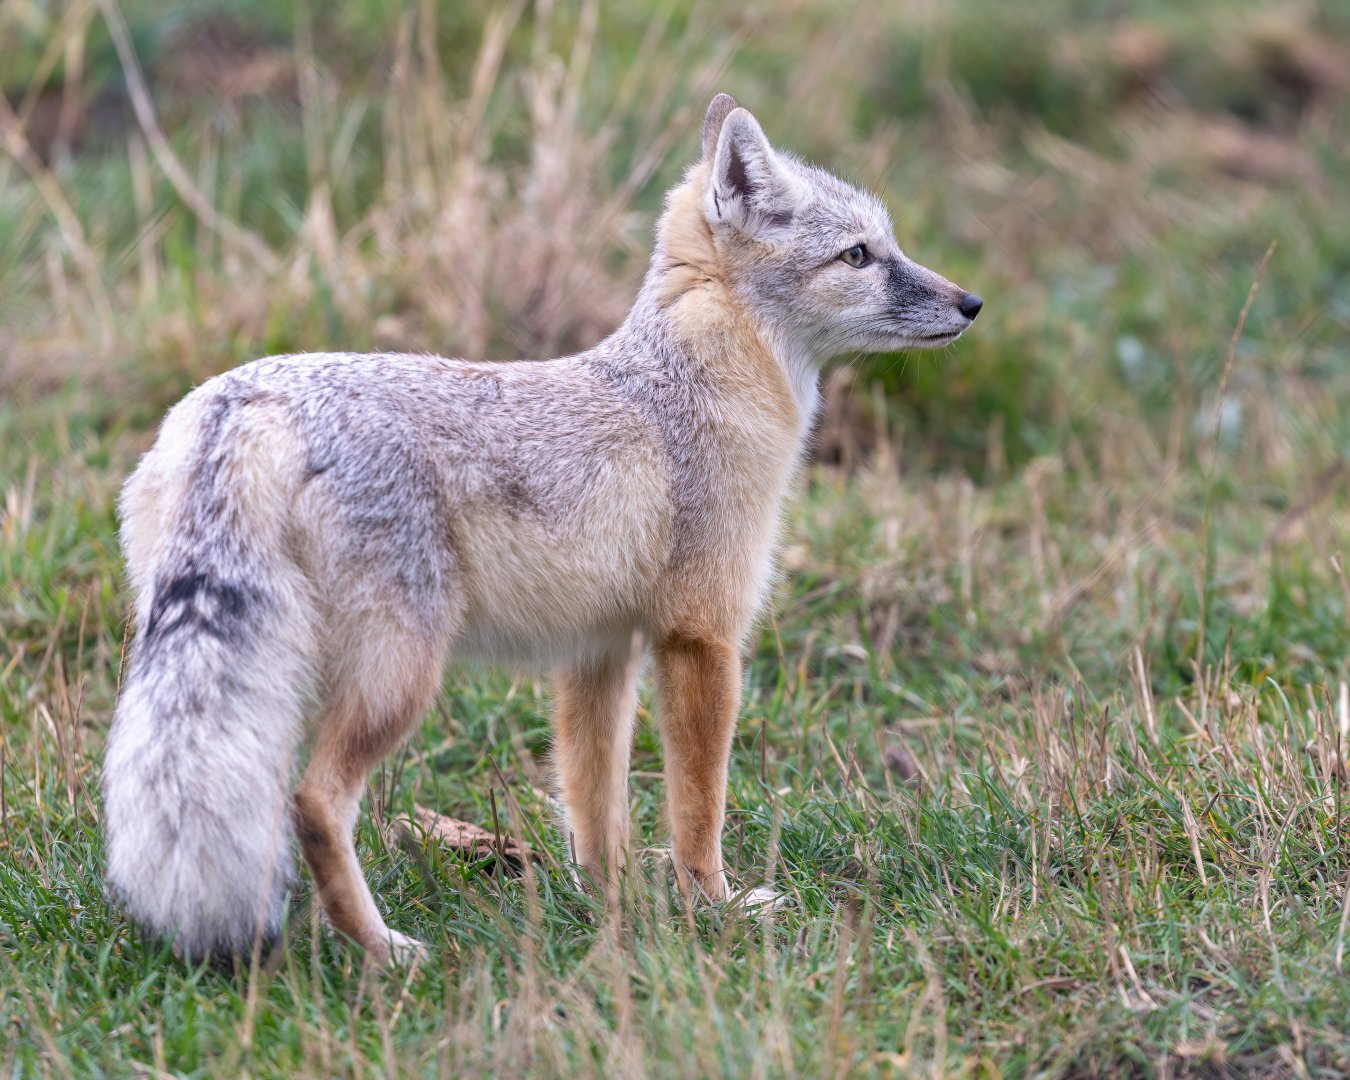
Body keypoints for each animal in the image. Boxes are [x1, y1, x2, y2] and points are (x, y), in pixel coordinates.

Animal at [102, 93, 982, 964]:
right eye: (859, 256)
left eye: (889, 245)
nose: (972, 303)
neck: (685, 382)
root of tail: (241, 401)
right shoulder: (701, 637)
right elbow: (699, 807)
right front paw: (713, 907)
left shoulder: (597, 652)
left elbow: (595, 811)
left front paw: (616, 908)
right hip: (400, 677)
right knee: (314, 802)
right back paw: (382, 948)